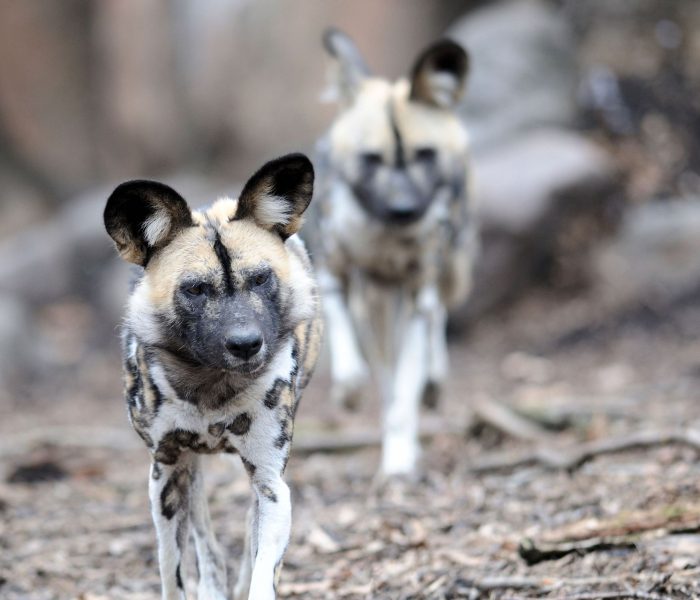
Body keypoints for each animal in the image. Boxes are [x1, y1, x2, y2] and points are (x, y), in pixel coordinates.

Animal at [104, 155, 322, 600]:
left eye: (260, 278)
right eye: (196, 289)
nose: (246, 344)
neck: (211, 386)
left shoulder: (270, 480)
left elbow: (262, 573)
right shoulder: (166, 470)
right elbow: (171, 572)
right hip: (184, 470)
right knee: (203, 531)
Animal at [314, 29, 478, 478]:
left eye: (424, 154)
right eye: (371, 160)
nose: (403, 209)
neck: (386, 240)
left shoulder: (419, 290)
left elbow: (405, 390)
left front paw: (400, 461)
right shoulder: (336, 276)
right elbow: (366, 371)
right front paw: (349, 391)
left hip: (439, 274)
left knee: (437, 318)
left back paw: (434, 381)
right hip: (379, 300)